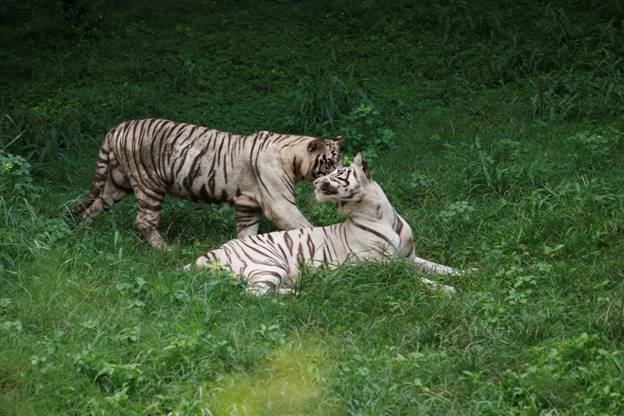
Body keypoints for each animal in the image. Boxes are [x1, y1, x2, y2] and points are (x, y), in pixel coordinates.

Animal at [188, 154, 466, 296]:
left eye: (338, 174)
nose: (315, 182)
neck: (380, 216)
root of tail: (207, 254)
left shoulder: (409, 258)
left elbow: (439, 267)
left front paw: (468, 273)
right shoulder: (385, 267)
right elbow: (418, 279)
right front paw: (448, 289)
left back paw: (297, 292)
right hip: (269, 266)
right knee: (253, 297)